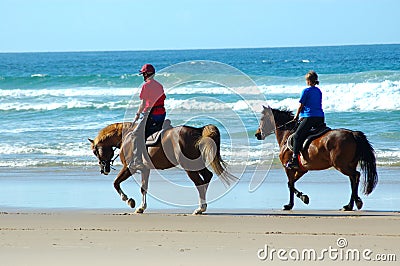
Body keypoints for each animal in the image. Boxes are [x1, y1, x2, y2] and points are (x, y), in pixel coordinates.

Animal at [89, 121, 236, 215]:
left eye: (95, 151)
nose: (104, 170)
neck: (126, 137)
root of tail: (198, 130)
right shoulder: (145, 169)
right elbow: (143, 188)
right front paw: (141, 207)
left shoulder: (129, 168)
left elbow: (116, 183)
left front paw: (129, 200)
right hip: (196, 165)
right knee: (207, 177)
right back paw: (203, 205)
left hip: (189, 167)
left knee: (200, 183)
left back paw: (200, 208)